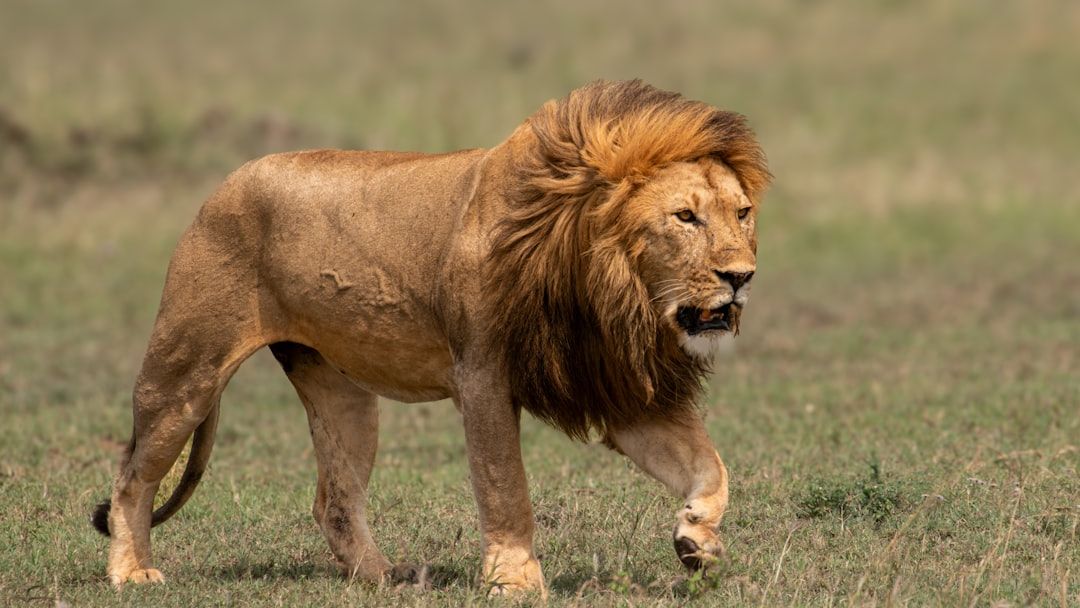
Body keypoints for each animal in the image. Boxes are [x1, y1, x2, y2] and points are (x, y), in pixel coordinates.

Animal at [92, 80, 770, 596]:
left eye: (742, 213)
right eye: (684, 217)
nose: (740, 277)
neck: (608, 286)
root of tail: (225, 184)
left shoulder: (619, 389)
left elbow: (710, 466)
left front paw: (697, 540)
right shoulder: (484, 376)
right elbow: (505, 486)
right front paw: (514, 581)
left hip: (342, 394)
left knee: (334, 499)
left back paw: (382, 577)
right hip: (188, 368)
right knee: (131, 477)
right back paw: (132, 573)